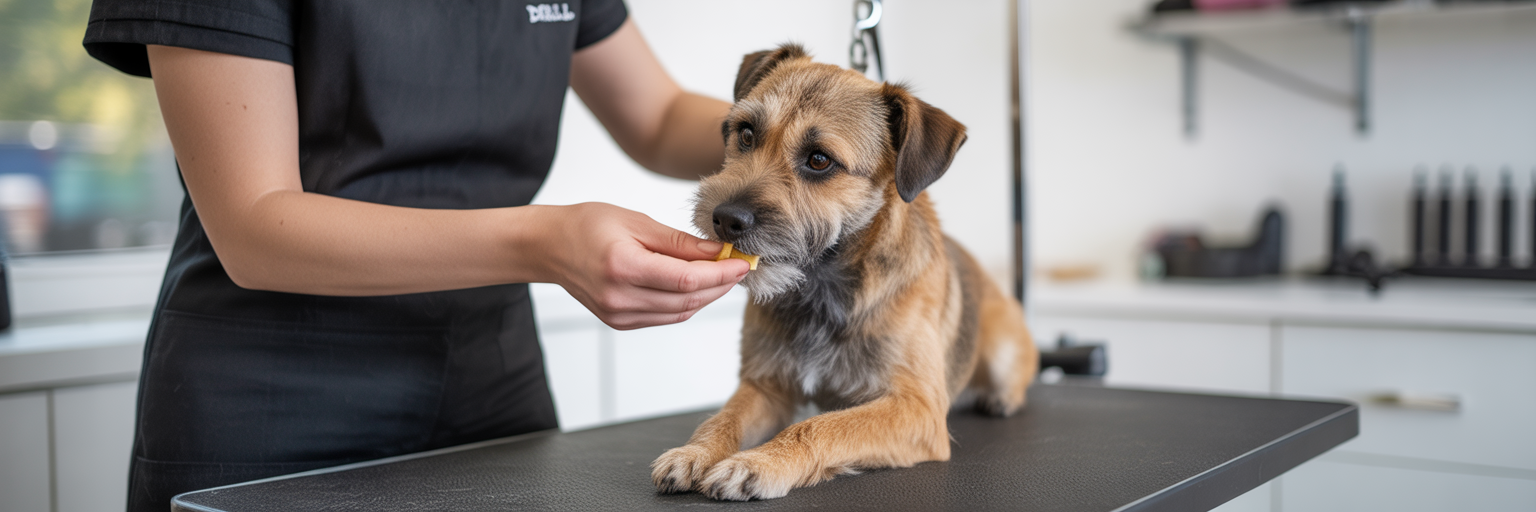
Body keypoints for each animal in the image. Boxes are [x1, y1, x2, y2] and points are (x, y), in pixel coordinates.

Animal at [650, 44, 1038, 501]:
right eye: (745, 134)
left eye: (819, 160)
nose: (726, 219)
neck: (821, 290)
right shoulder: (765, 386)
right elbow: (723, 418)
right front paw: (695, 452)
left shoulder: (917, 409)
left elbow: (819, 427)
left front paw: (757, 463)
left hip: (1002, 351)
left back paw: (1001, 399)